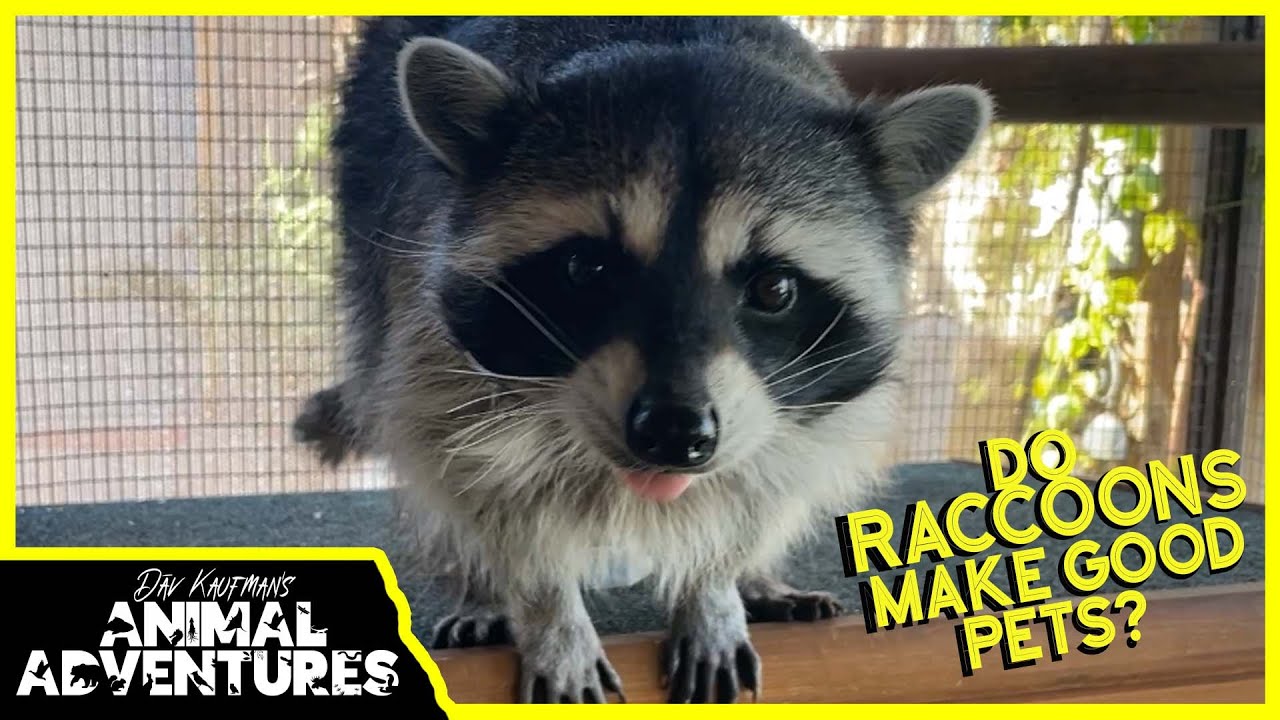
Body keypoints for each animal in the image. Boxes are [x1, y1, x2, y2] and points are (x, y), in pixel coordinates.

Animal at [295, 16, 992, 703]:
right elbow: (478, 474)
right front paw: (545, 606)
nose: (675, 433)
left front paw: (715, 586)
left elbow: (761, 484)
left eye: (775, 289)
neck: (679, 48)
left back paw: (757, 577)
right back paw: (484, 591)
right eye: (585, 269)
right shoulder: (424, 318)